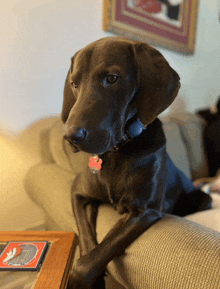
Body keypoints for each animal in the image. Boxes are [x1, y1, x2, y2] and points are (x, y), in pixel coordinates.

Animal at [62, 37, 211, 286]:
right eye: (74, 83)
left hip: (204, 199)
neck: (118, 151)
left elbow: (107, 243)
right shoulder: (78, 193)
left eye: (112, 78)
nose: (71, 136)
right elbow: (87, 238)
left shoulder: (145, 210)